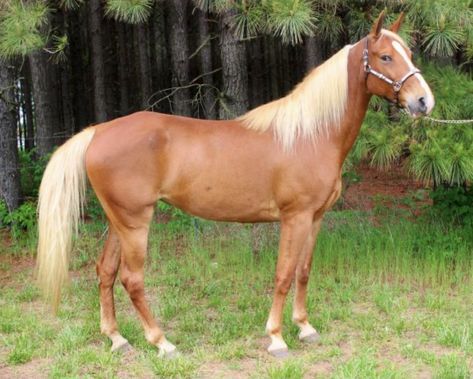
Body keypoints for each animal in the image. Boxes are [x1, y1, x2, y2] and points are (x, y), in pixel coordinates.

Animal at [37, 12, 434, 360]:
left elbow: (303, 271)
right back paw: (162, 343)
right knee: (132, 280)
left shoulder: (316, 218)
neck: (310, 135)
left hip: (118, 222)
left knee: (105, 272)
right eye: (385, 56)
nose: (423, 101)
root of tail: (98, 131)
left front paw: (305, 328)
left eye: (409, 54)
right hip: (135, 223)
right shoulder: (295, 217)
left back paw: (118, 339)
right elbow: (283, 274)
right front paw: (277, 338)